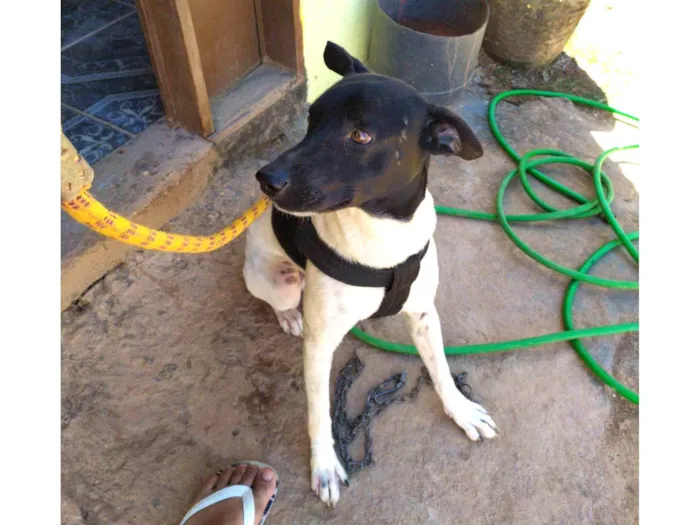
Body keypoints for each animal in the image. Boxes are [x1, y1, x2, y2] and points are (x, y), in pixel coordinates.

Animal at [245, 41, 498, 504]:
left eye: (360, 136)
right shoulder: (319, 344)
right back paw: (289, 316)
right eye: (311, 118)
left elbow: (441, 369)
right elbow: (318, 413)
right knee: (277, 300)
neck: (382, 234)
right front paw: (325, 465)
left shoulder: (424, 315)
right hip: (281, 281)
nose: (265, 178)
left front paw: (460, 409)